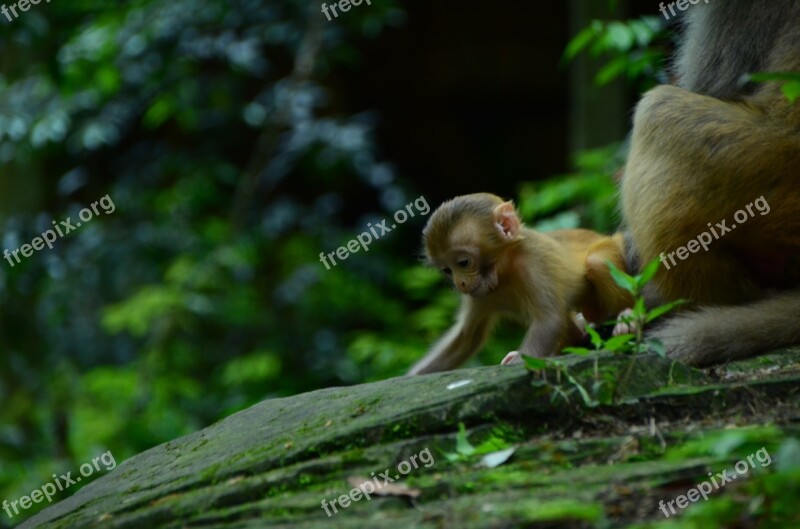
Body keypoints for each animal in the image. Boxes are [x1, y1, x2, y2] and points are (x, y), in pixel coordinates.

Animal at [410, 194, 636, 376]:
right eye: (447, 270)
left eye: (463, 263)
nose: (461, 284)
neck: (504, 269)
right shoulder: (480, 294)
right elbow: (465, 340)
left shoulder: (532, 262)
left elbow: (549, 320)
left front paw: (521, 361)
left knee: (597, 262)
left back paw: (627, 318)